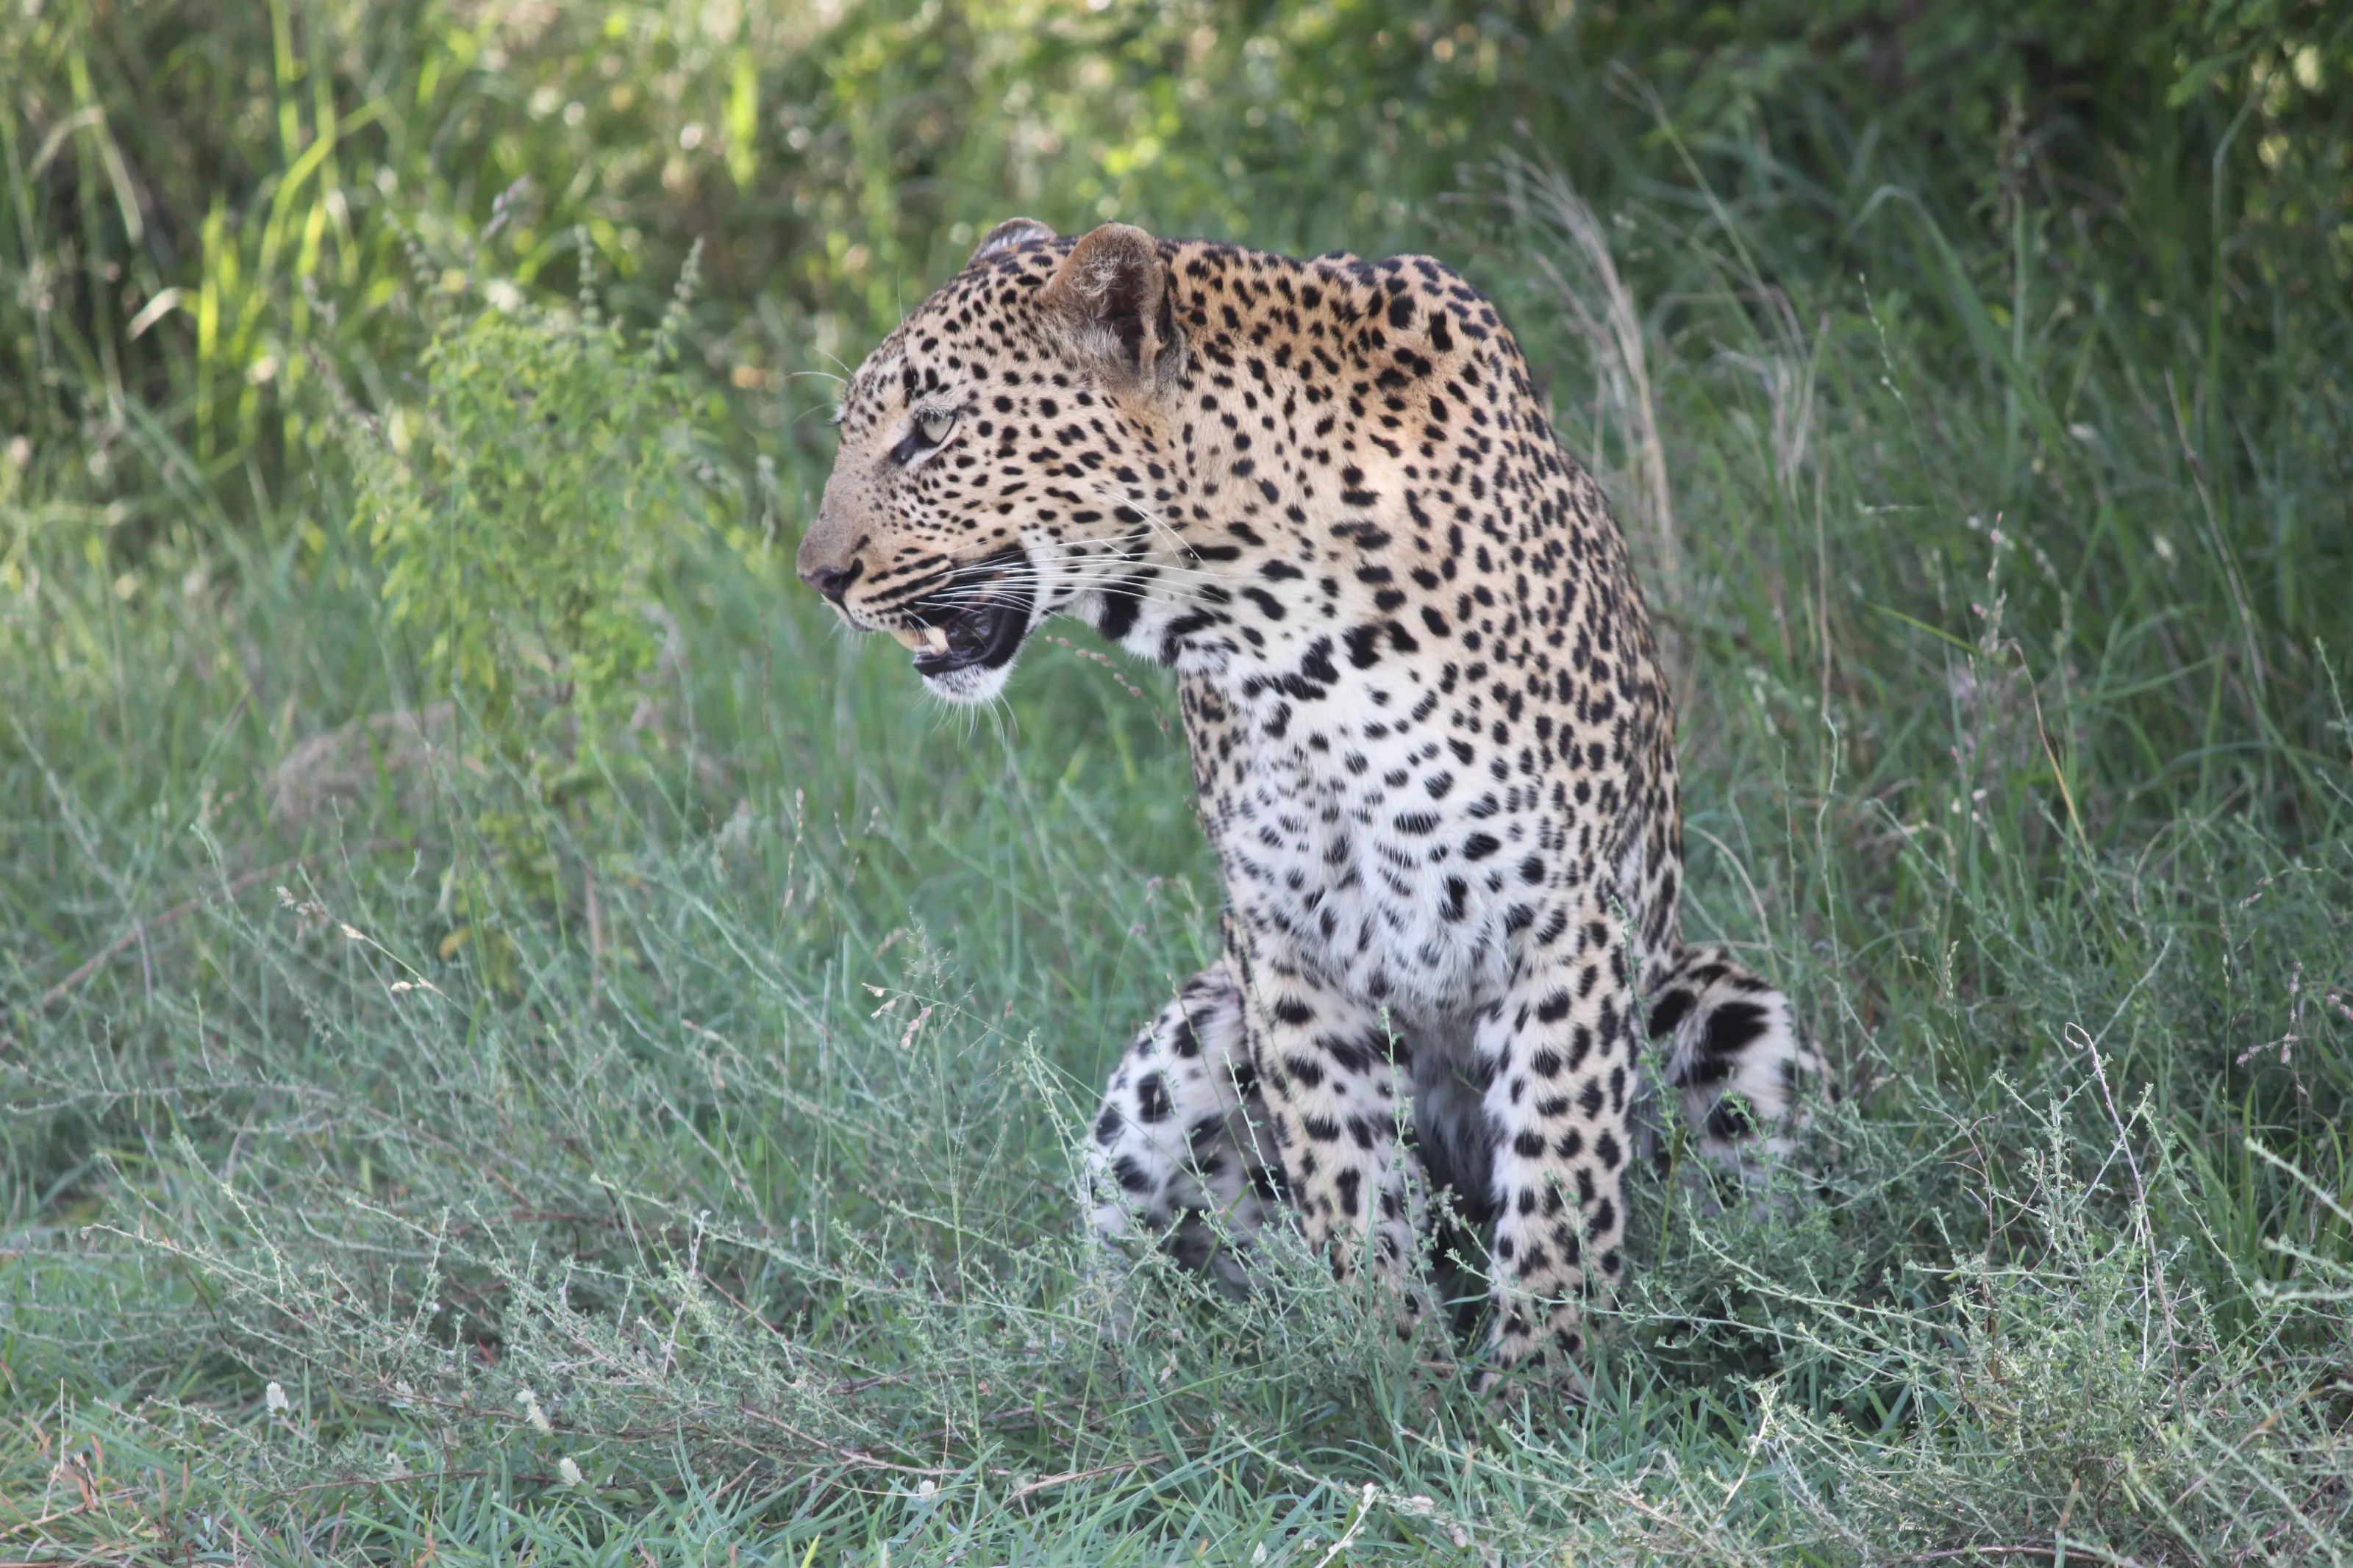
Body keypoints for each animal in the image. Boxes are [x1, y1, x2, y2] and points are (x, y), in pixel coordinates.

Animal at [797, 217, 1824, 1386]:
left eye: (931, 433)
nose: (817, 575)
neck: (1286, 634)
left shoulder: (1563, 921)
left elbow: (1562, 1172)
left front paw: (1545, 1383)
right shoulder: (1284, 940)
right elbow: (1348, 1180)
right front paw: (1400, 1380)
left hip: (1717, 1003)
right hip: (1189, 1037)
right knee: (1139, 1275)